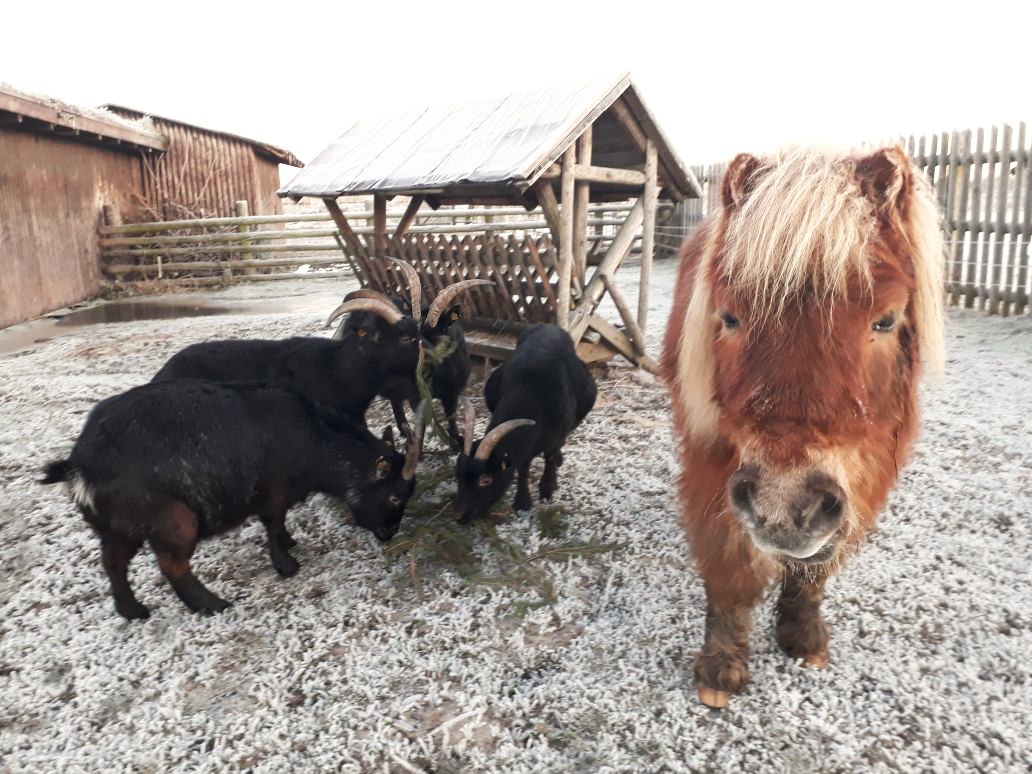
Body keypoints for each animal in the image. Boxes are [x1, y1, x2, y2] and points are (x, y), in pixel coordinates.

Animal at [37, 381, 423, 623]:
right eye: (394, 495)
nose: (390, 533)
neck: (314, 437)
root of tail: (80, 464)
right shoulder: (274, 491)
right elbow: (273, 522)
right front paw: (286, 564)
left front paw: (290, 544)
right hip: (174, 519)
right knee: (172, 566)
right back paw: (211, 604)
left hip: (118, 527)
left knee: (113, 563)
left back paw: (132, 610)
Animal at [454, 324, 594, 524]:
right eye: (458, 473)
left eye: (486, 479)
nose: (459, 515)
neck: (530, 390)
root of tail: (550, 326)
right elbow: (522, 466)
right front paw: (522, 503)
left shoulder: (558, 433)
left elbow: (550, 456)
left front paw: (547, 489)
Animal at [660, 145, 945, 710]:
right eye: (729, 317)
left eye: (886, 319)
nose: (783, 505)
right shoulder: (712, 468)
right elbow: (727, 567)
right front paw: (721, 666)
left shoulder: (864, 480)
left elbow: (814, 568)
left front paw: (802, 635)